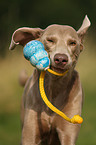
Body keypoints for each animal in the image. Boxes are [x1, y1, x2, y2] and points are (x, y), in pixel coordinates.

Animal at [9, 15, 91, 145]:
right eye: (50, 40)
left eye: (73, 43)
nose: (61, 59)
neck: (54, 88)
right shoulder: (30, 134)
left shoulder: (68, 133)